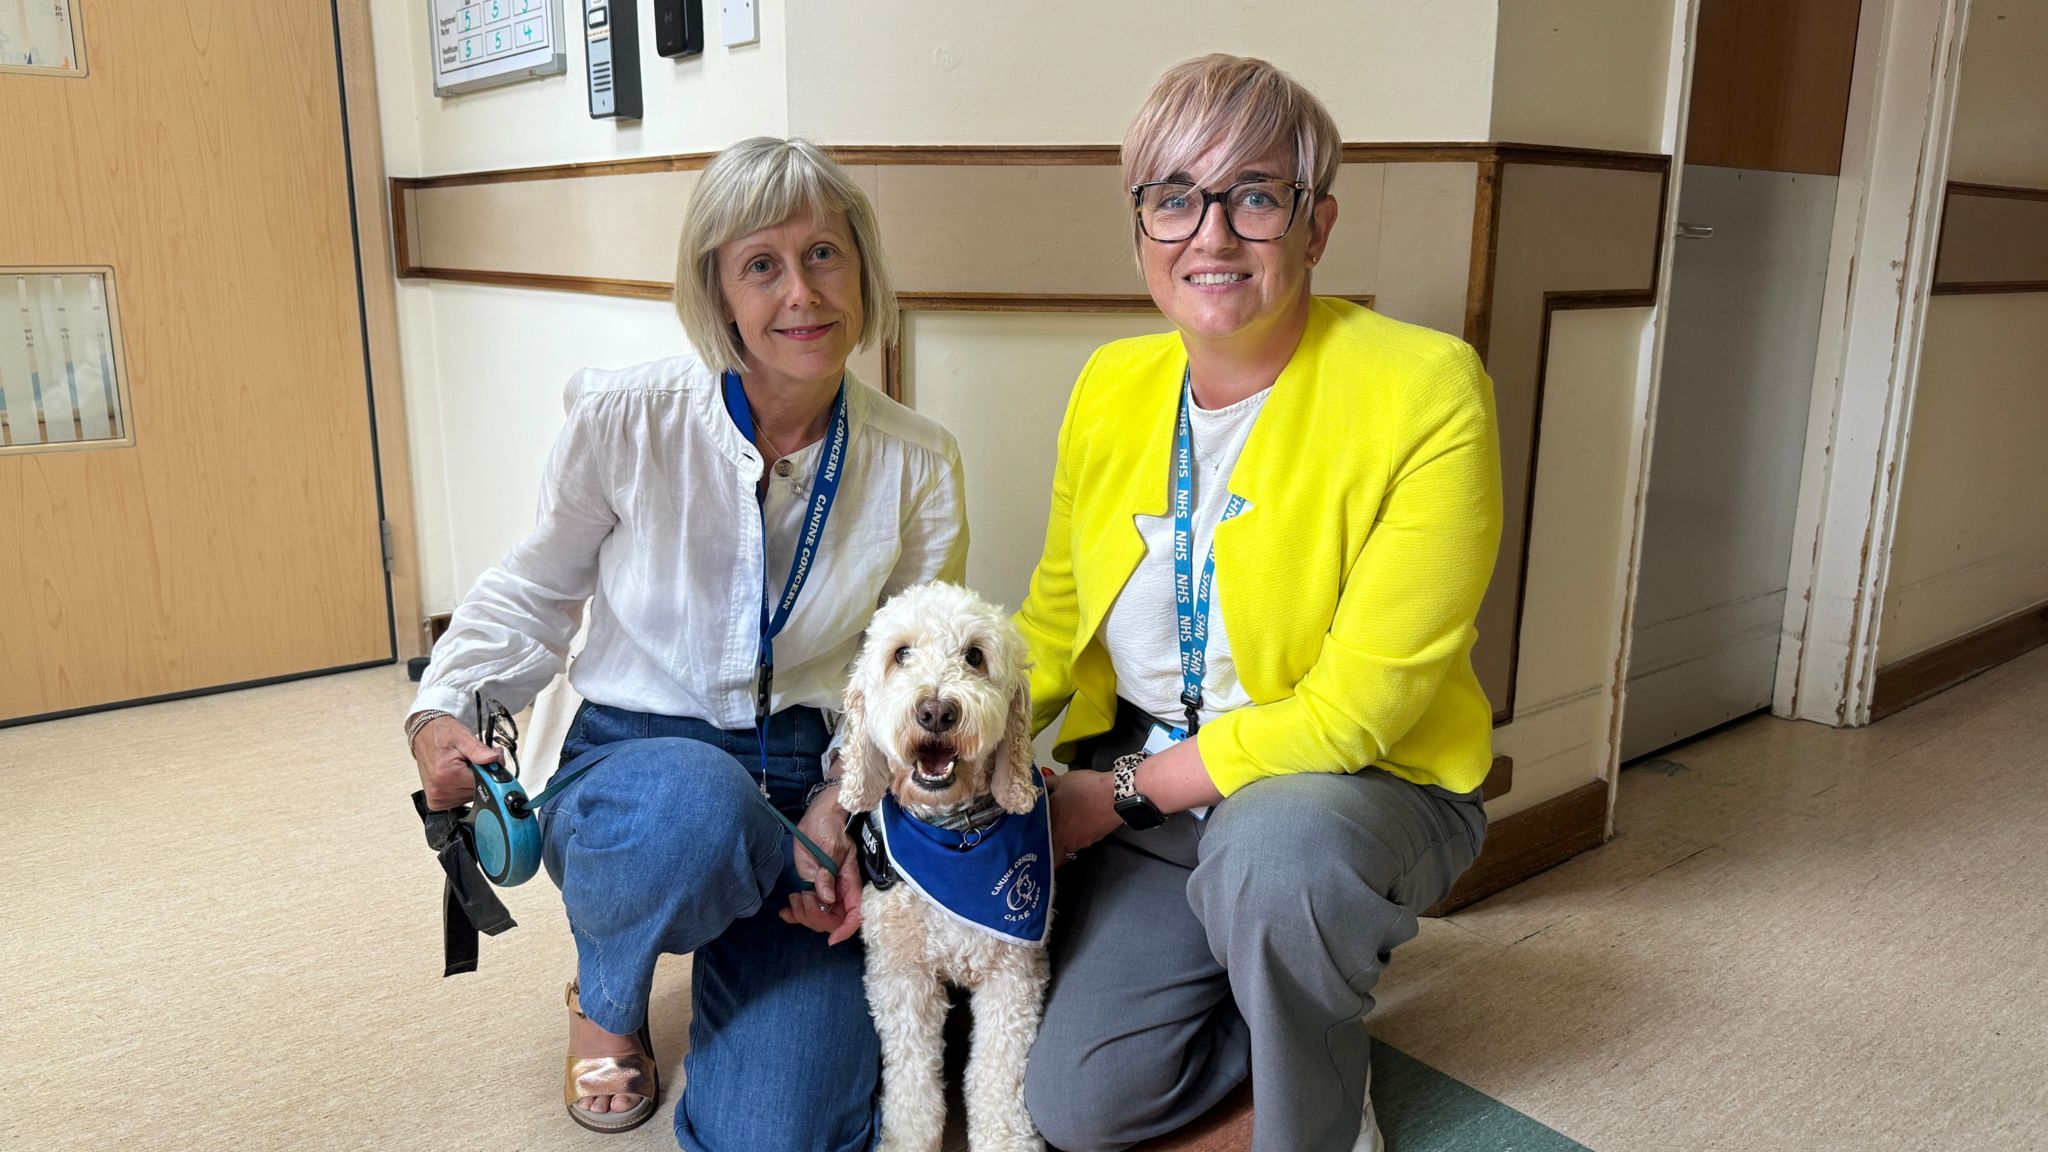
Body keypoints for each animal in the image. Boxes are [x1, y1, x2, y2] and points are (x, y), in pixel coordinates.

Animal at [835, 582, 1048, 1147]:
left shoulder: (1012, 974)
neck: (956, 837)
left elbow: (996, 1074)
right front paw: (906, 1140)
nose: (935, 711)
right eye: (900, 654)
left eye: (974, 656)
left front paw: (1006, 1141)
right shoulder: (902, 976)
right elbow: (912, 1082)